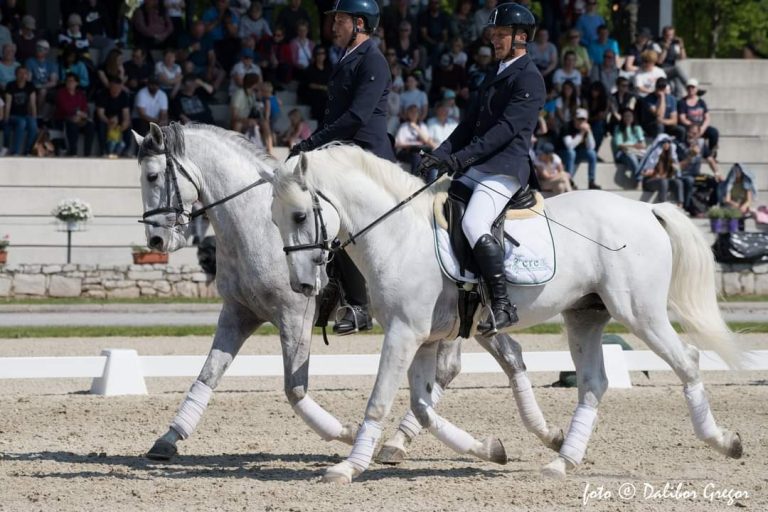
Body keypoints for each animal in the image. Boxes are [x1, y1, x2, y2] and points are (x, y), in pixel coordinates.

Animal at [134, 123, 560, 464]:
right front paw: (168, 439)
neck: (253, 226)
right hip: (468, 317)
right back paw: (542, 435)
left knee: (452, 368)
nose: (156, 241)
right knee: (507, 356)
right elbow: (207, 375)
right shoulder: (238, 313)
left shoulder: (295, 314)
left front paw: (345, 432)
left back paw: (403, 443)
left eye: (153, 176)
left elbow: (294, 390)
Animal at [262, 144, 744, 484]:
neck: (398, 234)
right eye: (274, 219)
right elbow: (422, 406)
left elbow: (381, 400)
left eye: (301, 215)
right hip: (585, 316)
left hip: (639, 313)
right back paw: (562, 461)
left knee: (688, 361)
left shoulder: (403, 333)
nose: (302, 286)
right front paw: (489, 449)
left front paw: (348, 467)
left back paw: (725, 442)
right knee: (593, 384)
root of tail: (646, 207)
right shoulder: (424, 337)